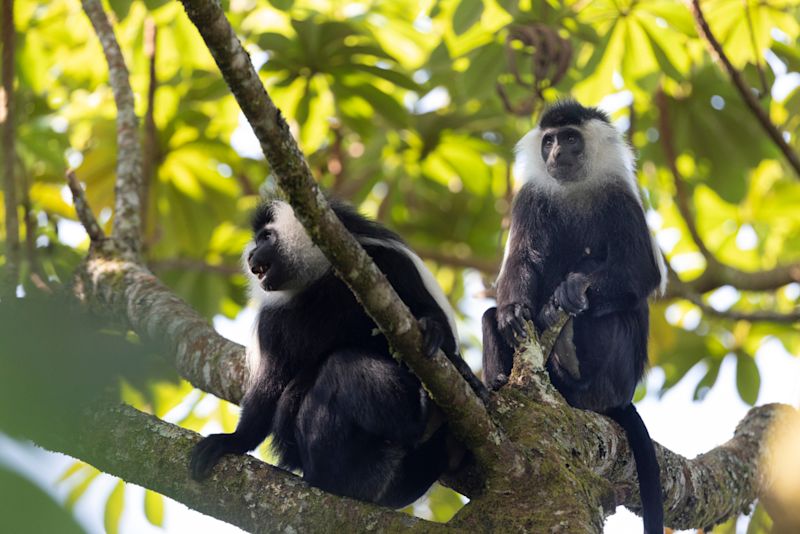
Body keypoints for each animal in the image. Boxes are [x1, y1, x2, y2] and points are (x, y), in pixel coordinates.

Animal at [191, 199, 484, 508]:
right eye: (256, 240)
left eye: (266, 237)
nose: (250, 256)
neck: (324, 278)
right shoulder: (272, 323)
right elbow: (268, 390)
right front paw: (233, 441)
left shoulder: (391, 261)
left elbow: (437, 325)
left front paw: (437, 336)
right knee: (341, 370)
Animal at [482, 101, 668, 534]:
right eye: (549, 140)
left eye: (570, 138)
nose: (556, 153)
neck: (575, 189)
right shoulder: (530, 199)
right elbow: (521, 261)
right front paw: (514, 313)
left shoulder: (621, 199)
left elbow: (639, 270)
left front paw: (570, 289)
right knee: (487, 316)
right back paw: (502, 377)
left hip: (613, 377)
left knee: (609, 316)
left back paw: (570, 363)